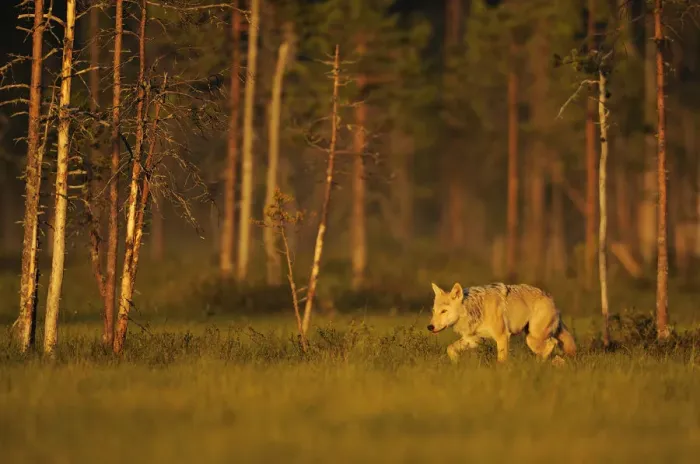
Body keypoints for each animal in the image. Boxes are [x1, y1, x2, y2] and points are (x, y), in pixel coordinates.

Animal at [427, 282, 577, 364]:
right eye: (434, 311)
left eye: (444, 311)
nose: (430, 327)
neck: (476, 309)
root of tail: (550, 298)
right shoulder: (474, 340)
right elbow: (450, 349)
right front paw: (456, 364)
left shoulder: (502, 337)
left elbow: (501, 361)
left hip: (532, 339)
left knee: (551, 344)